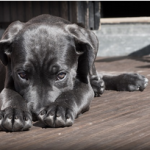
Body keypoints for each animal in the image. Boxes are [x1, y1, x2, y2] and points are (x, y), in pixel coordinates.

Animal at [0, 14, 148, 131]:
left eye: (61, 75)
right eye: (22, 75)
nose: (37, 113)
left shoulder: (83, 85)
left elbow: (72, 93)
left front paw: (59, 109)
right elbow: (10, 94)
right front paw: (14, 112)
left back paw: (130, 79)